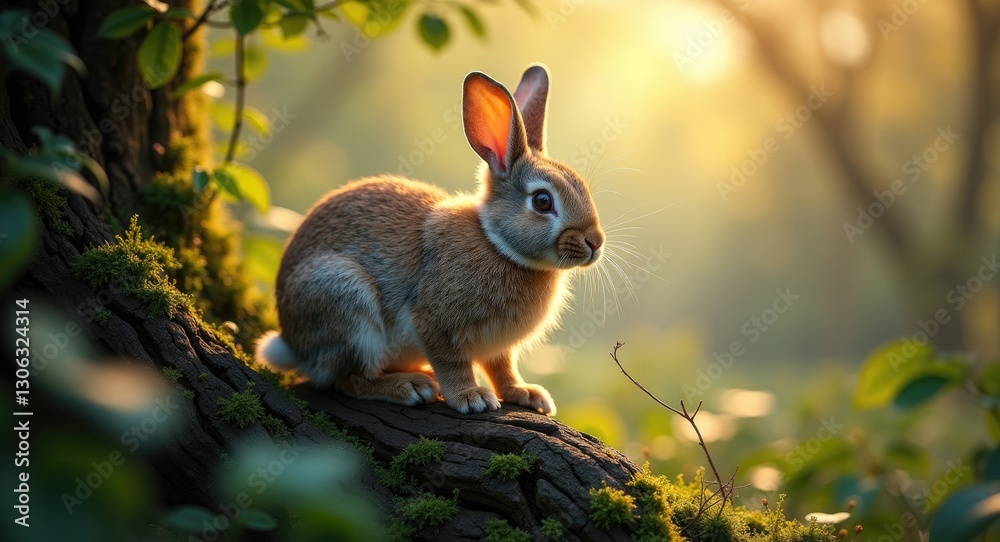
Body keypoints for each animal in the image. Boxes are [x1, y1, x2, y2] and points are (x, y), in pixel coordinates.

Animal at [256, 64, 604, 415]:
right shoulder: (432, 321)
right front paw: (471, 397)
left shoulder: (498, 347)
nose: (595, 243)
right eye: (543, 201)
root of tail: (291, 343)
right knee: (349, 379)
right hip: (345, 301)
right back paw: (410, 386)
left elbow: (503, 369)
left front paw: (527, 394)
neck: (498, 245)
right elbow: (452, 363)